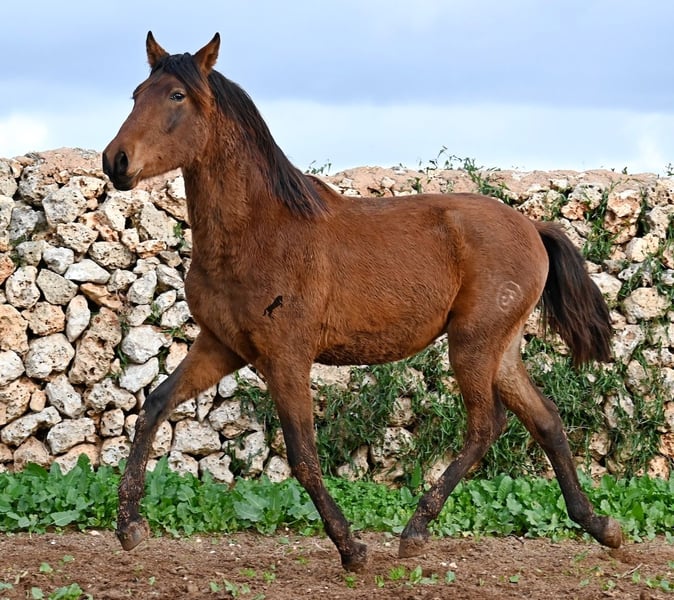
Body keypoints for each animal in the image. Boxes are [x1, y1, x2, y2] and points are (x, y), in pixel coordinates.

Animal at [102, 32, 622, 572]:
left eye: (177, 96)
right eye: (137, 93)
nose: (115, 161)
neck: (258, 233)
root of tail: (534, 228)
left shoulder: (286, 358)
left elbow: (303, 457)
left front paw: (351, 548)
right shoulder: (220, 346)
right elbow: (155, 405)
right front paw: (130, 527)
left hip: (473, 344)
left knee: (486, 425)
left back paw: (416, 530)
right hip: (502, 348)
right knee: (546, 421)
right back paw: (600, 525)